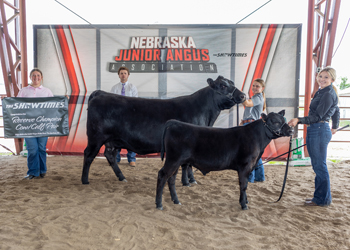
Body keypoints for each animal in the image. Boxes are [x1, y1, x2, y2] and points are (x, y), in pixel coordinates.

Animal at [82, 75, 246, 185]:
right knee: (88, 155)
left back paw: (122, 177)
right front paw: (187, 182)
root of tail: (101, 93)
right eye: (223, 85)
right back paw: (85, 180)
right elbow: (186, 165)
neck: (206, 116)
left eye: (232, 83)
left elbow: (190, 164)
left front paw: (191, 180)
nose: (243, 95)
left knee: (109, 156)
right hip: (95, 137)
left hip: (113, 140)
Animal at [156, 110, 292, 210]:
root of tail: (174, 123)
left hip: (176, 161)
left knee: (171, 179)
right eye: (275, 122)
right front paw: (244, 205)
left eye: (284, 120)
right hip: (173, 159)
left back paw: (176, 201)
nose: (291, 130)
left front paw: (245, 201)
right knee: (162, 175)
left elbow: (246, 185)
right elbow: (243, 185)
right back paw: (159, 204)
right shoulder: (245, 166)